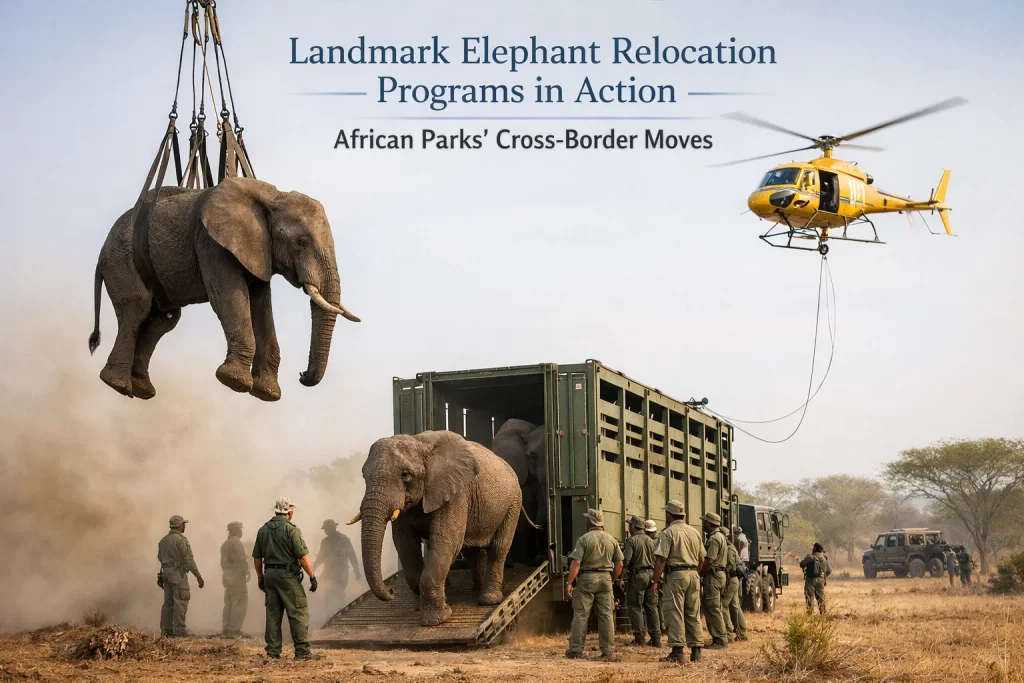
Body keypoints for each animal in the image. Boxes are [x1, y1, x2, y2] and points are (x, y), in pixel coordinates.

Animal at [87, 177, 359, 401]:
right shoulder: (212, 242)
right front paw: (234, 381)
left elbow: (261, 308)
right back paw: (117, 385)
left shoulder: (259, 251)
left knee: (161, 321)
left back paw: (142, 389)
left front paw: (267, 393)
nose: (302, 375)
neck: (273, 197)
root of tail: (100, 255)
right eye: (301, 241)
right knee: (137, 310)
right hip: (122, 260)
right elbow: (230, 298)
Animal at [350, 430, 522, 627]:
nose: (391, 591)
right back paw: (476, 589)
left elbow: (446, 542)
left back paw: (488, 599)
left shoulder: (456, 492)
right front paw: (420, 608)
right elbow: (405, 545)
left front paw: (436, 620)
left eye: (405, 475)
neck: (419, 442)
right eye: (364, 475)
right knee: (471, 550)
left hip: (513, 503)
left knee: (498, 548)